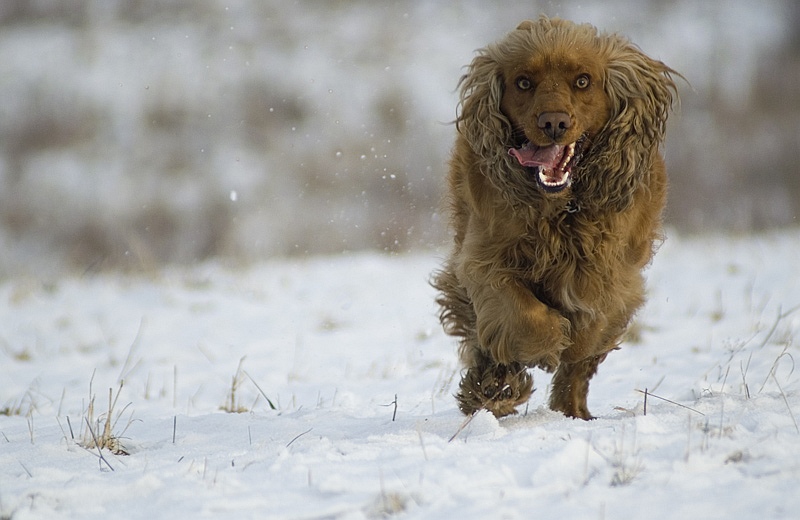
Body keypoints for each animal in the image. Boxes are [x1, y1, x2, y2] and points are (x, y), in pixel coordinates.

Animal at [434, 18, 680, 420]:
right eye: (523, 82)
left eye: (582, 81)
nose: (553, 122)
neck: (560, 209)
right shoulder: (483, 260)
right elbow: (524, 316)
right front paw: (543, 349)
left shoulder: (613, 275)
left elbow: (588, 335)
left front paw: (568, 349)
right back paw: (495, 385)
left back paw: (571, 410)